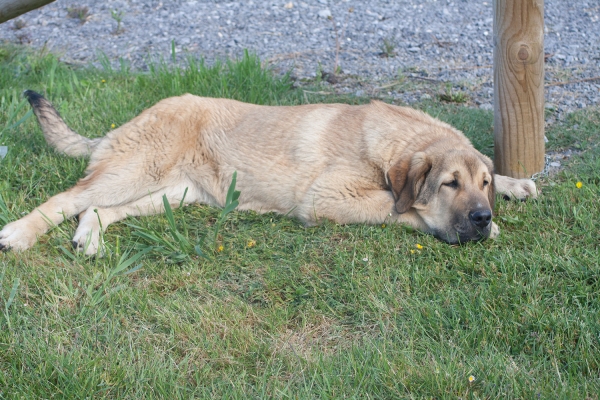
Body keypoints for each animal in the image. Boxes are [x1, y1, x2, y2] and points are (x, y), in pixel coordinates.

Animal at [0, 90, 536, 255]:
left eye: (482, 184)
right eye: (449, 184)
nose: (482, 218)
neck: (393, 143)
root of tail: (134, 118)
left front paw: (516, 184)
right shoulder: (328, 198)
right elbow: (398, 206)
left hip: (172, 194)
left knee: (95, 207)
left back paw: (88, 238)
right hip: (136, 171)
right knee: (67, 199)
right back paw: (19, 235)